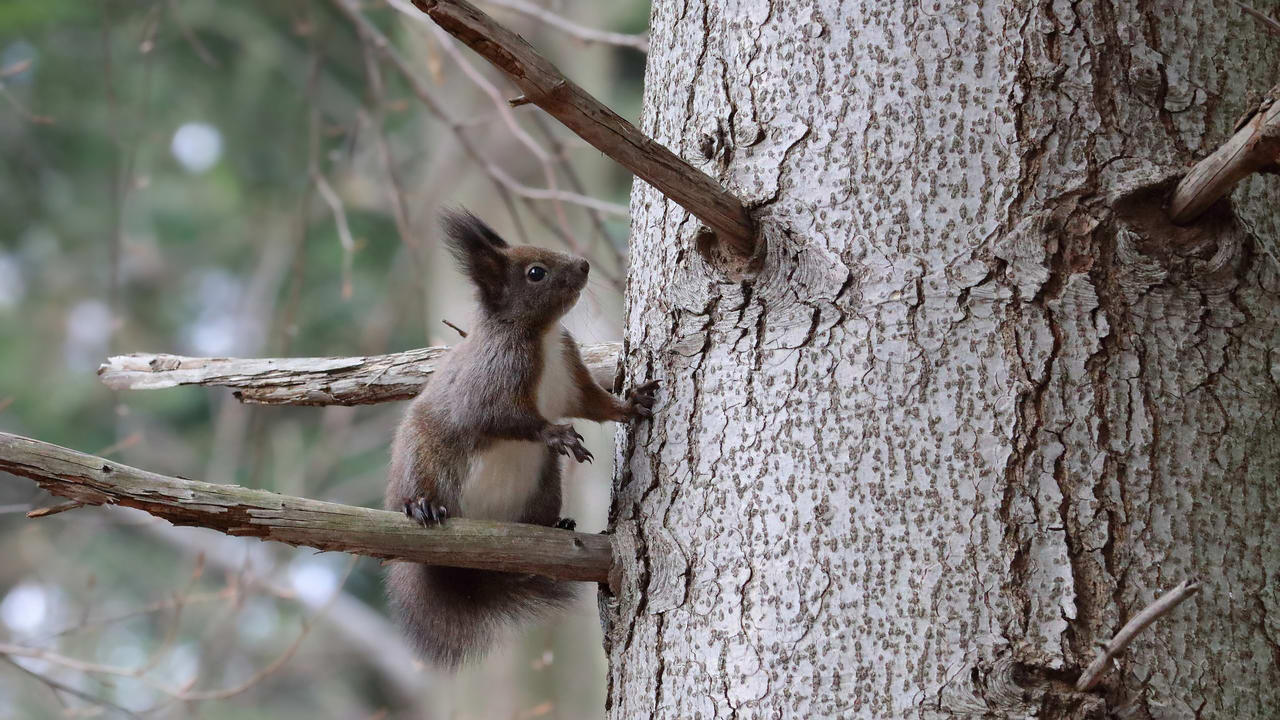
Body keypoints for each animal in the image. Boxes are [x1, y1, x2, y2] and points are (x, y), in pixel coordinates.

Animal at [384, 208, 655, 666]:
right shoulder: (493, 377)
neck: (542, 334)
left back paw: (556, 526)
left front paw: (632, 404)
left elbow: (595, 404)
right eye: (535, 273)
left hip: (544, 486)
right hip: (421, 460)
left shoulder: (570, 373)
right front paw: (557, 433)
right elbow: (502, 418)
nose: (584, 265)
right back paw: (421, 506)